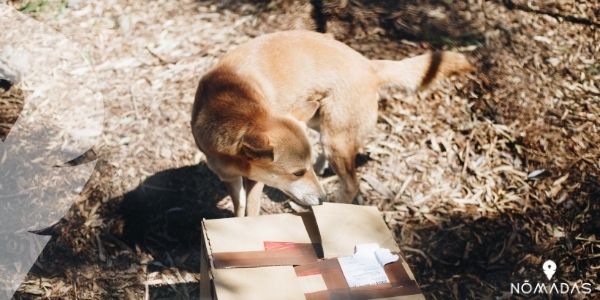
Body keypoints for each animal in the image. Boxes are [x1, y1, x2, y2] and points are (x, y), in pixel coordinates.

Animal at [192, 30, 474, 217]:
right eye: (298, 173)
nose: (322, 198)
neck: (230, 101)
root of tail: (368, 65)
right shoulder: (229, 177)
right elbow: (238, 206)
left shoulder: (255, 182)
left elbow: (250, 211)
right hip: (317, 121)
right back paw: (321, 166)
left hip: (336, 138)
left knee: (351, 184)